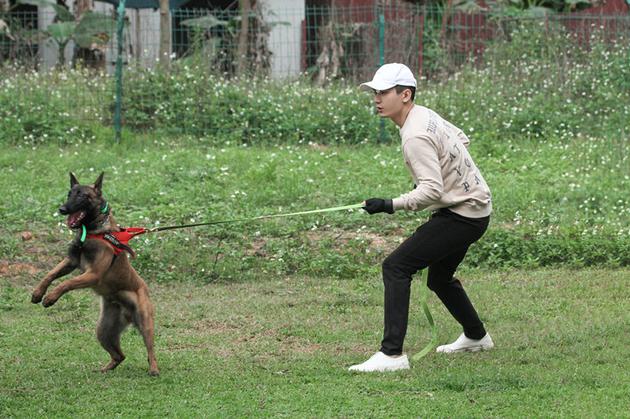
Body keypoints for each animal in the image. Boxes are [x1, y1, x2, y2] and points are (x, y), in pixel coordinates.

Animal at [31, 172, 160, 376]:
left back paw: (154, 369)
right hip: (103, 330)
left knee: (150, 350)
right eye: (69, 194)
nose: (62, 209)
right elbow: (50, 274)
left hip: (145, 322)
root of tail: (126, 313)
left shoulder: (93, 274)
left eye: (82, 196)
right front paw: (38, 293)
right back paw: (105, 369)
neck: (92, 230)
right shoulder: (71, 262)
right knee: (120, 356)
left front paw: (51, 297)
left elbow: (66, 283)